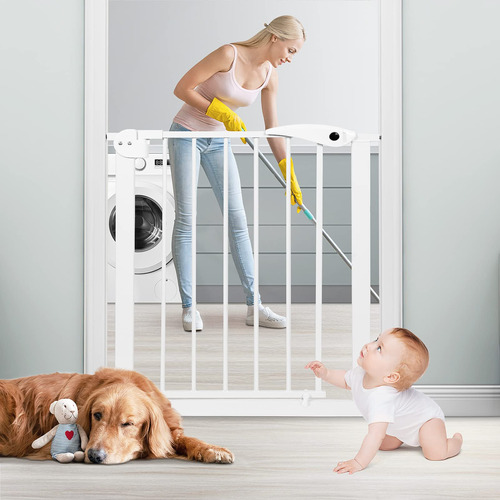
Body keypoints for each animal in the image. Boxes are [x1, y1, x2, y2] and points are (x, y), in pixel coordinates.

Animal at [0, 368, 234, 464]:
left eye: (128, 424)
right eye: (97, 415)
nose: (95, 456)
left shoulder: (169, 427)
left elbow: (185, 439)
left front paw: (212, 450)